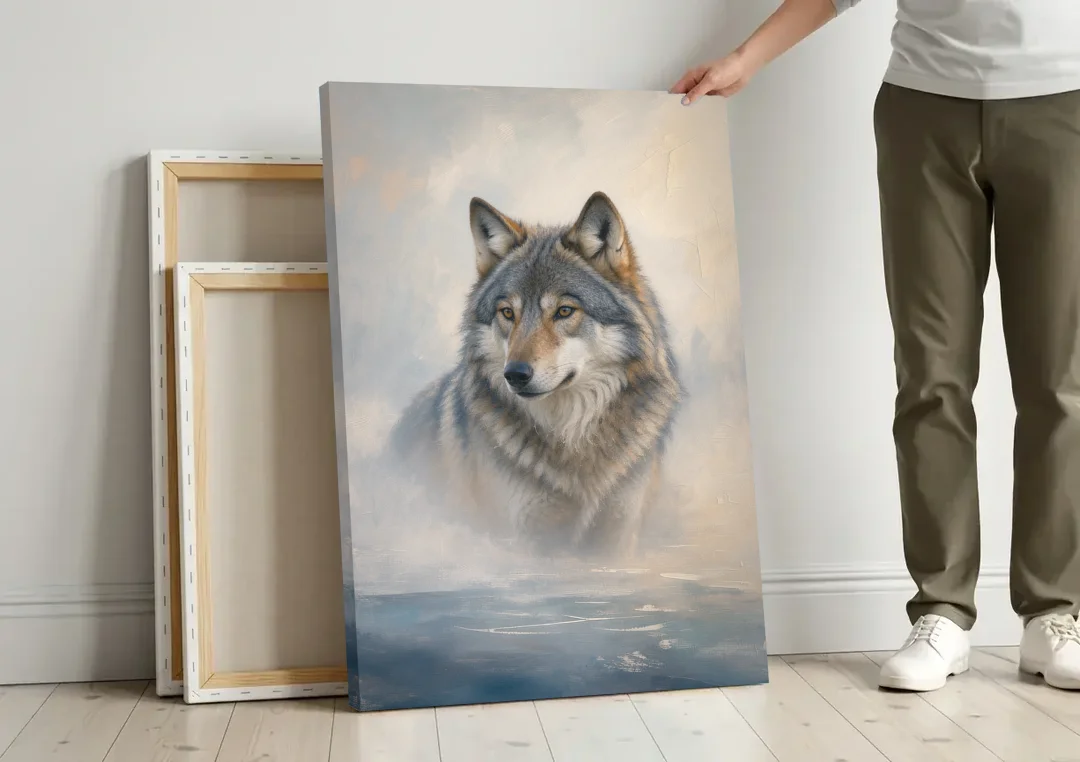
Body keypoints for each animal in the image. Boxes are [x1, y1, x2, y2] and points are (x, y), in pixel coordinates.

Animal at [389, 191, 683, 559]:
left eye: (565, 311)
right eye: (507, 313)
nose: (514, 374)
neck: (572, 435)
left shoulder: (618, 538)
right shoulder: (521, 540)